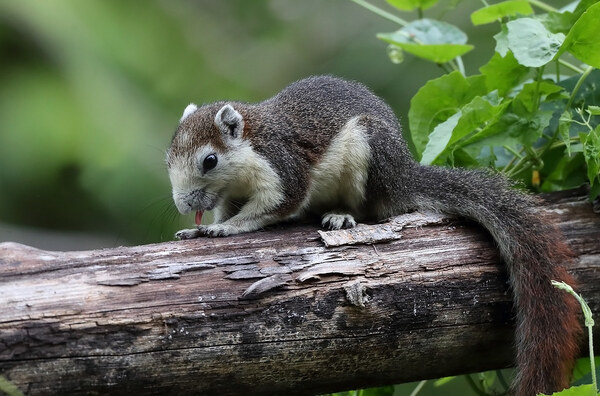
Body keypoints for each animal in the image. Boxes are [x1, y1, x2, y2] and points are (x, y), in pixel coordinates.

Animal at [165, 76, 580, 394]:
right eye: (168, 157)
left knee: (375, 211)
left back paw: (342, 216)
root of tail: (404, 177)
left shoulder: (282, 170)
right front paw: (196, 228)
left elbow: (271, 208)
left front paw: (224, 228)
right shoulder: (231, 194)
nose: (184, 204)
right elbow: (229, 207)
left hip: (369, 157)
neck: (250, 147)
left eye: (210, 160)